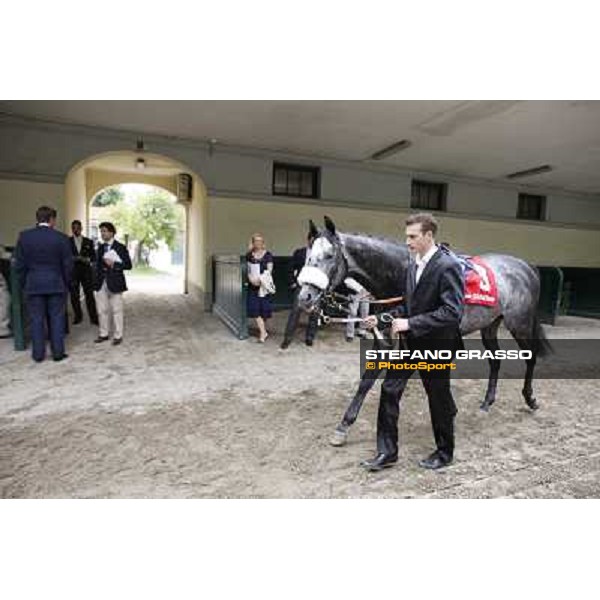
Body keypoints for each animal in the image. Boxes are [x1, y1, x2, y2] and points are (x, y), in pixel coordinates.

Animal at [296, 218, 552, 448]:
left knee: (531, 356)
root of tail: (526, 267)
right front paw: (343, 426)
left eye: (330, 255)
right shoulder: (385, 338)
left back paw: (530, 398)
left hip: (519, 323)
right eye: (308, 255)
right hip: (490, 324)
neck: (401, 273)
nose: (305, 296)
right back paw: (487, 403)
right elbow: (367, 381)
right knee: (495, 360)